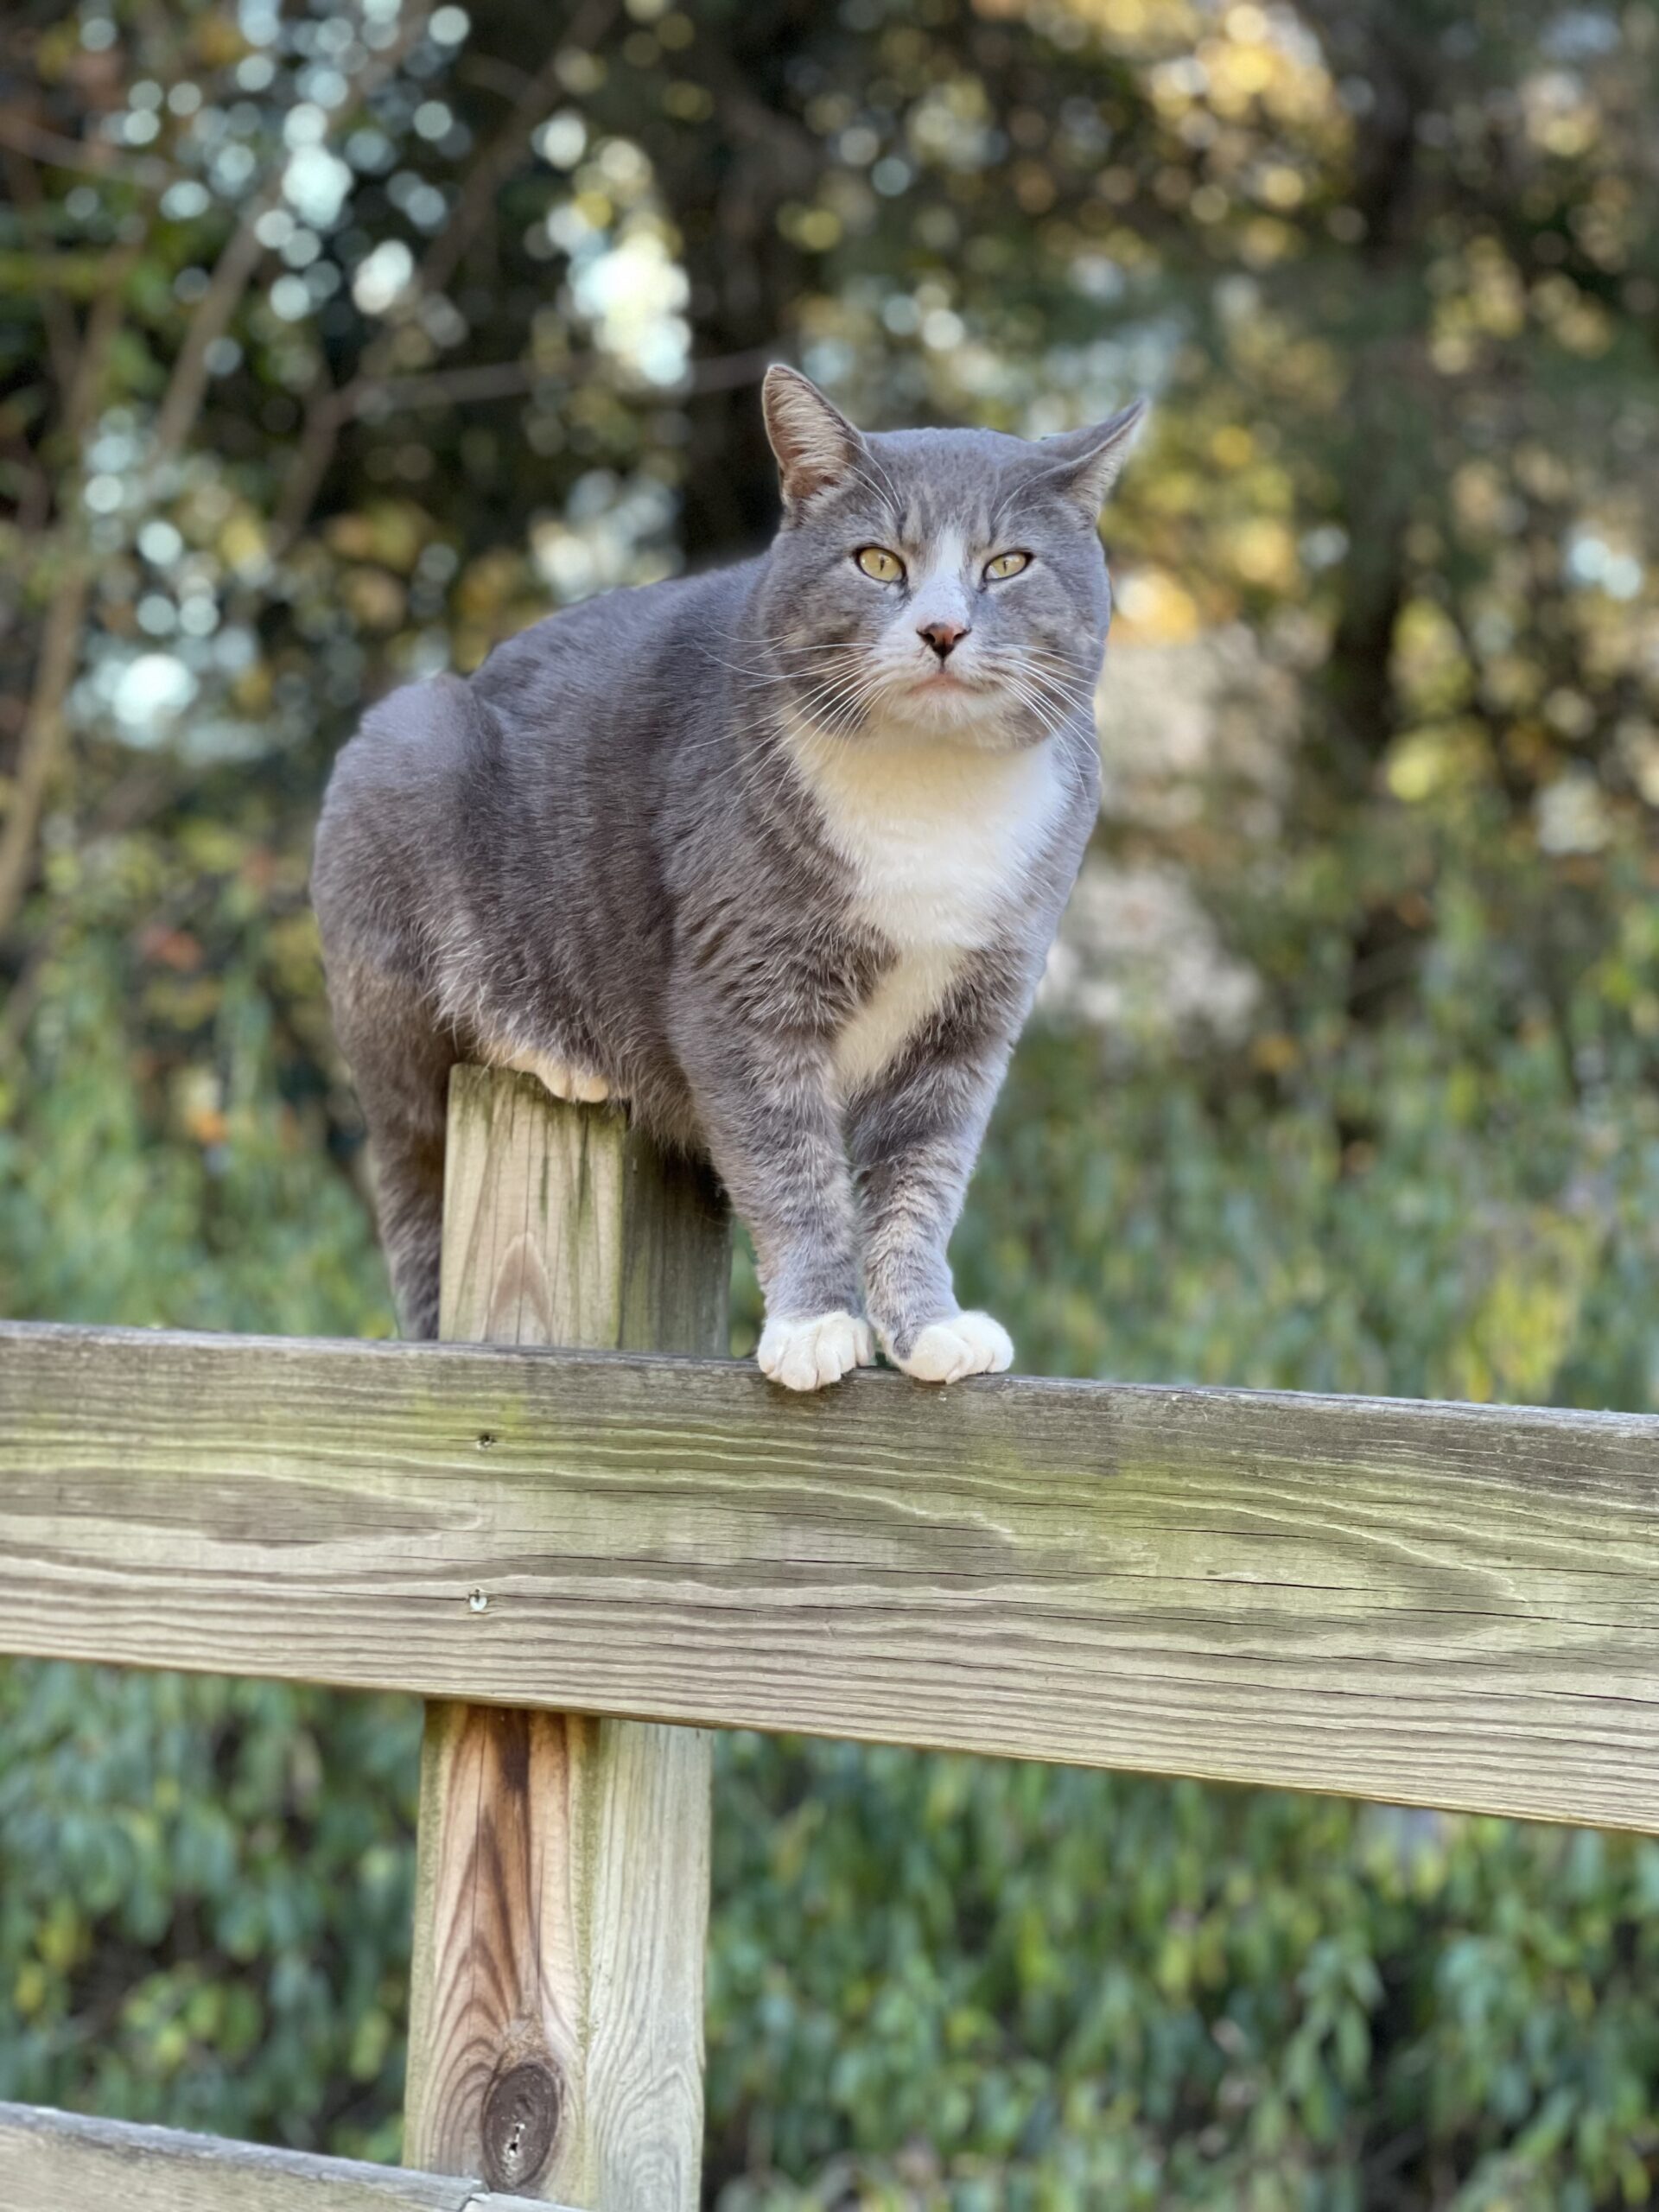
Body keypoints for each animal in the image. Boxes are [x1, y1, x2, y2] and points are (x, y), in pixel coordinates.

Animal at [311, 372, 1141, 1389]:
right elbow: (790, 1165)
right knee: (424, 1082)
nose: (943, 628)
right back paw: (555, 1052)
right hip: (404, 759)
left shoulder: (973, 1018)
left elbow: (923, 1179)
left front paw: (927, 1328)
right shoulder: (742, 988)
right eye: (877, 561)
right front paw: (816, 1325)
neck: (930, 796)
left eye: (1009, 563)